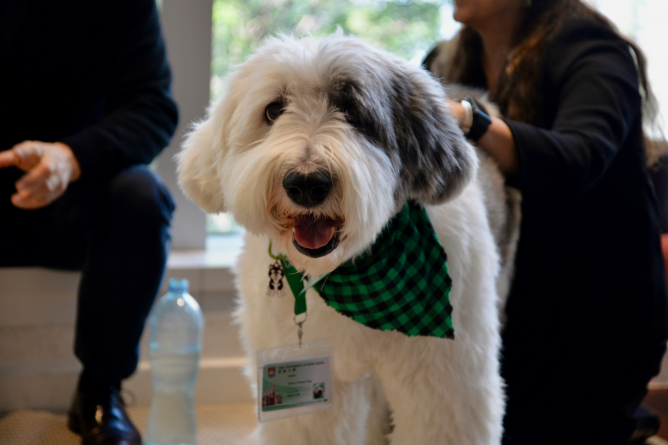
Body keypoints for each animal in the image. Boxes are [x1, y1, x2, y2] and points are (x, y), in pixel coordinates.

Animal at [180, 33, 520, 442]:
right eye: (274, 110)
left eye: (353, 111)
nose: (306, 183)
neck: (342, 272)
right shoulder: (310, 384)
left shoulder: (445, 381)